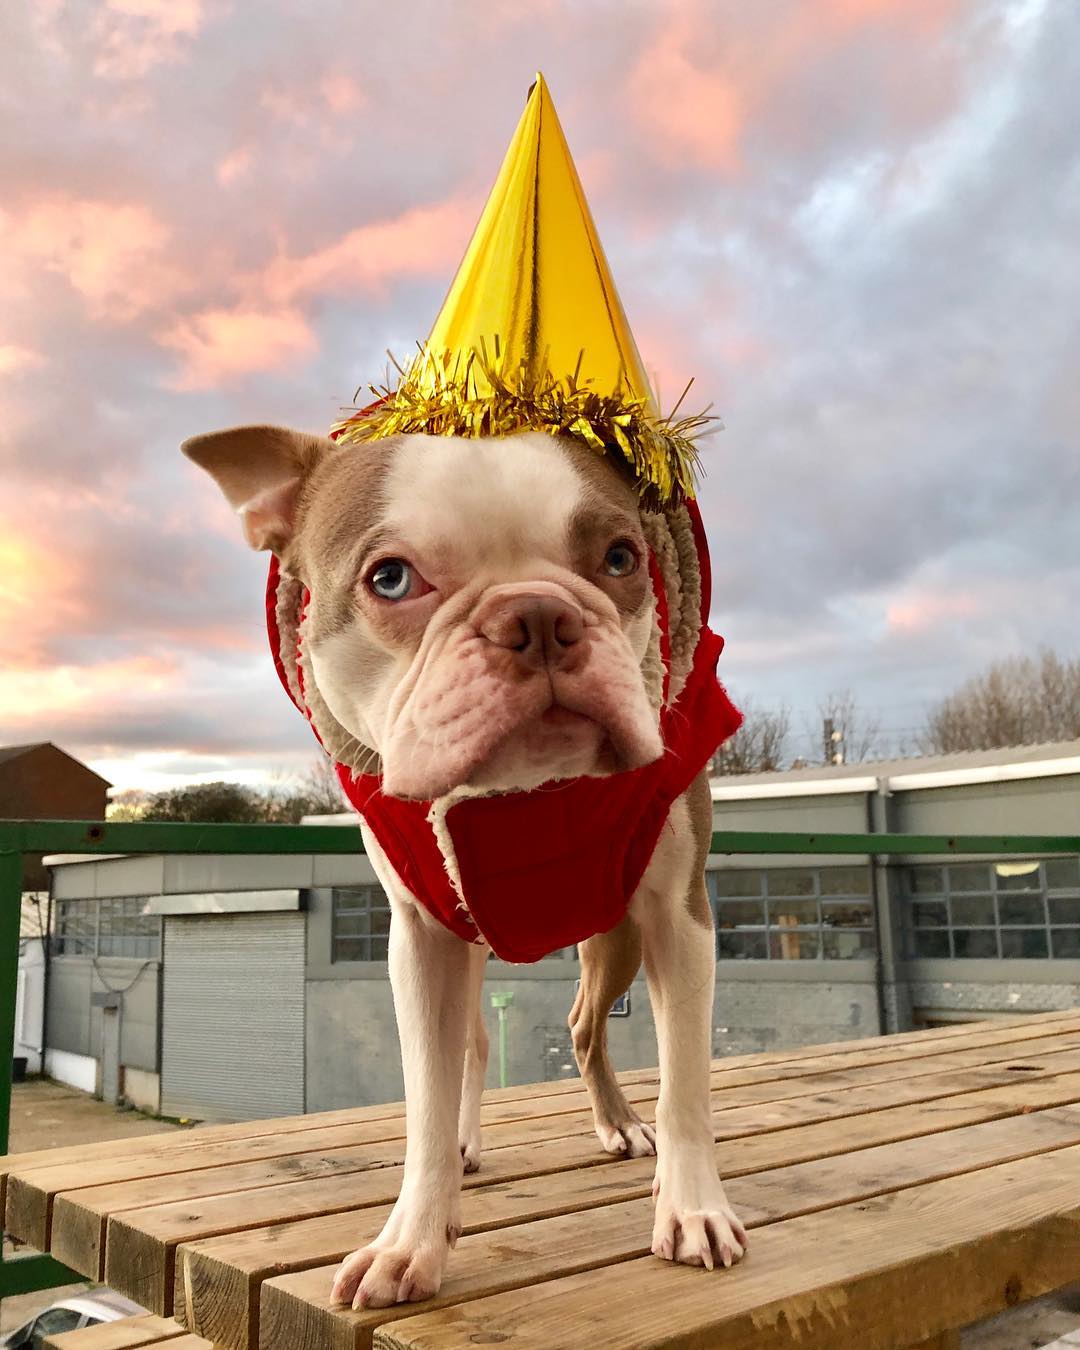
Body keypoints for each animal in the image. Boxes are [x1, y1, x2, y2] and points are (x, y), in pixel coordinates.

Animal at [183, 423, 748, 1309]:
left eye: (621, 558)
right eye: (390, 577)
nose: (540, 614)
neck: (519, 800)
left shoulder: (678, 916)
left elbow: (685, 1075)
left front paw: (693, 1210)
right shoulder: (420, 938)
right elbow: (426, 1092)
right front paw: (409, 1240)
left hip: (616, 936)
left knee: (584, 1027)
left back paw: (620, 1123)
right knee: (477, 1045)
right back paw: (465, 1146)